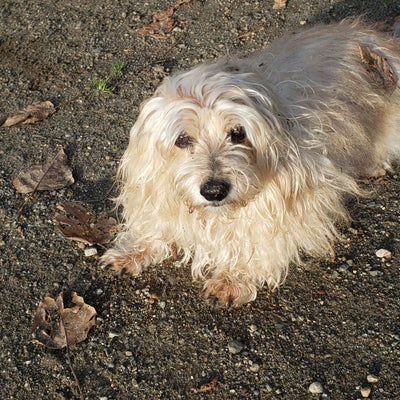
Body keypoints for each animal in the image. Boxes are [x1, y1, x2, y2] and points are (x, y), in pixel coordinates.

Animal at [101, 18, 400, 306]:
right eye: (182, 139)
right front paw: (134, 249)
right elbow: (155, 220)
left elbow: (262, 240)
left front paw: (235, 277)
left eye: (238, 133)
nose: (214, 191)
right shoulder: (152, 184)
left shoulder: (296, 201)